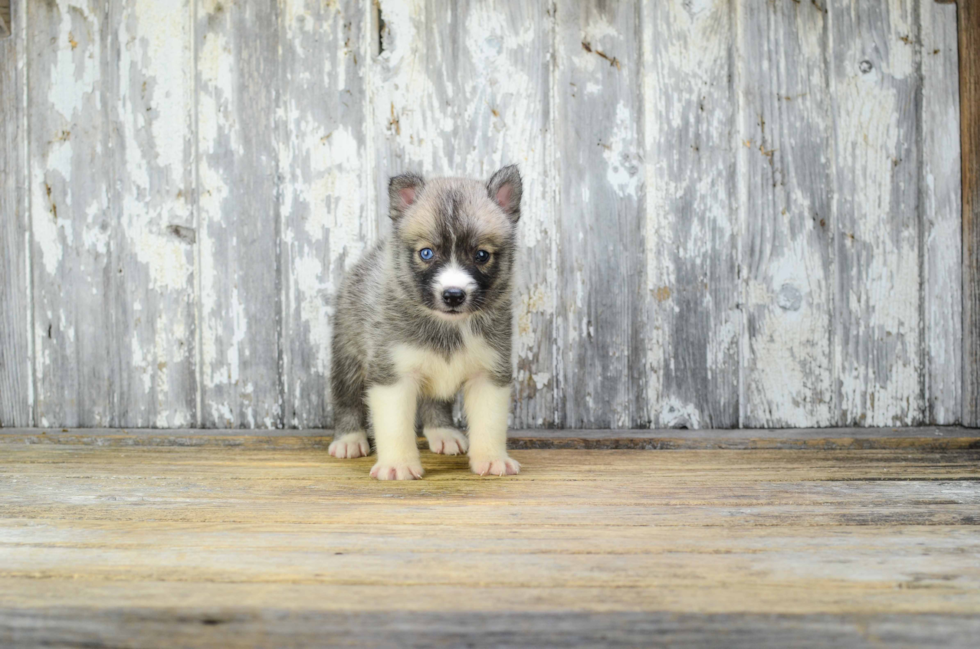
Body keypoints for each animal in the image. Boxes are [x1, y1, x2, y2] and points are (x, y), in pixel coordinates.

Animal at [328, 167, 524, 480]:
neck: (447, 327)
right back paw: (348, 439)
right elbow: (395, 426)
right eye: (427, 253)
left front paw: (492, 458)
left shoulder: (489, 371)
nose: (453, 295)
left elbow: (490, 423)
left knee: (436, 403)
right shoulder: (392, 374)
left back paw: (442, 433)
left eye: (481, 255)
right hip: (348, 354)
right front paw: (398, 464)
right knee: (345, 398)